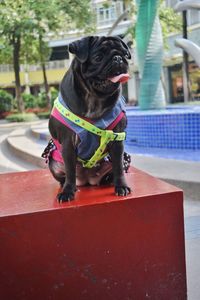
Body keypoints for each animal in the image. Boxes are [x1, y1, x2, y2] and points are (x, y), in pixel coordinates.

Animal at [42, 36, 131, 203]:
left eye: (125, 55)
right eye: (98, 57)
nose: (118, 58)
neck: (94, 98)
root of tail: (88, 181)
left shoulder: (117, 140)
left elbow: (119, 167)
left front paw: (121, 186)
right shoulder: (68, 144)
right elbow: (70, 171)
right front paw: (67, 192)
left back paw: (108, 181)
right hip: (53, 163)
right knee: (65, 176)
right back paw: (66, 186)